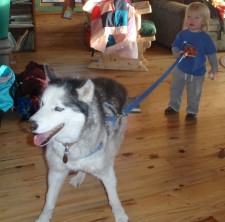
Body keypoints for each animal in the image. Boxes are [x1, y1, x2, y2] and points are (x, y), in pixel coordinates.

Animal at [29, 64, 129, 222]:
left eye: (59, 108)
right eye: (42, 103)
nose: (30, 125)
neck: (70, 146)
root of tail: (114, 82)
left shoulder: (106, 173)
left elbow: (113, 199)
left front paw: (119, 215)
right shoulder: (55, 172)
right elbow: (49, 201)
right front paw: (43, 218)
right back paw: (79, 176)